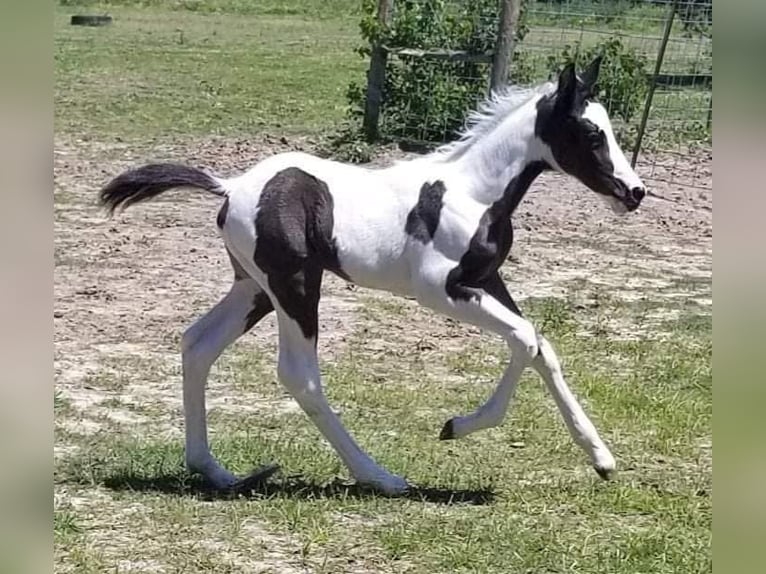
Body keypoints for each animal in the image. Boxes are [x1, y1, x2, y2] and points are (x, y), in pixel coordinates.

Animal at [99, 58, 646, 495]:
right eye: (591, 134)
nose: (635, 192)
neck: (472, 193)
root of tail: (231, 186)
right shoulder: (441, 290)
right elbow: (526, 337)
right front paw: (456, 426)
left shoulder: (488, 282)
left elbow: (539, 346)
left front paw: (602, 459)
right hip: (295, 286)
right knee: (299, 375)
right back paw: (380, 477)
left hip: (254, 288)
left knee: (197, 344)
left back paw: (214, 471)